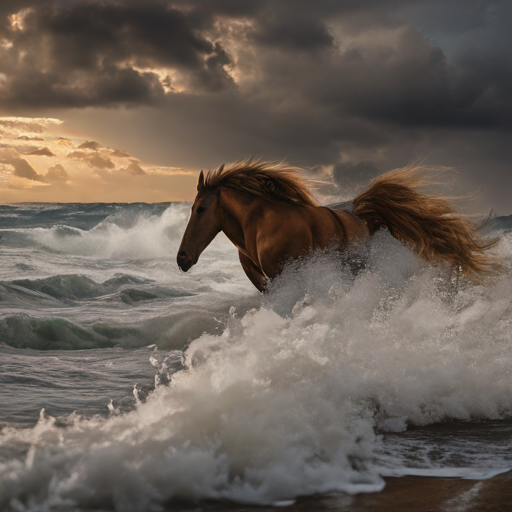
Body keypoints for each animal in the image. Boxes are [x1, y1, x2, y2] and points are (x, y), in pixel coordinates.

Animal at [178, 159, 498, 292]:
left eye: (200, 208)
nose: (182, 259)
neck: (257, 225)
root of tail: (360, 217)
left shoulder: (287, 273)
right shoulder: (263, 279)